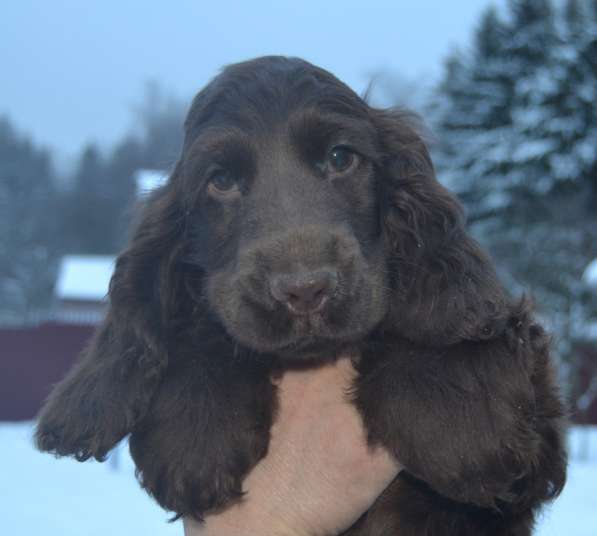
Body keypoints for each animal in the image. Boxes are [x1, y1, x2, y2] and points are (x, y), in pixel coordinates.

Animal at [35, 56, 564, 532]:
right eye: (220, 181)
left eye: (340, 158)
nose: (305, 290)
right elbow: (202, 328)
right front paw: (195, 436)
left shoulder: (534, 463)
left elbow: (438, 322)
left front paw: (459, 425)